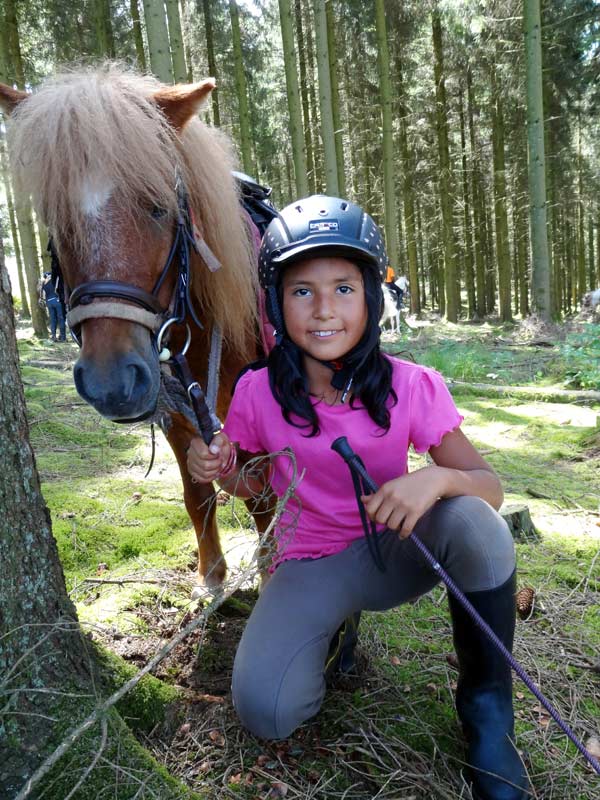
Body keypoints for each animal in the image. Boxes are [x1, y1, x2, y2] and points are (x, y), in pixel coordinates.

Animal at [0, 67, 274, 591]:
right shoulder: (177, 416)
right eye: (55, 218)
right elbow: (198, 493)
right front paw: (212, 576)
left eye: (159, 207)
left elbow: (264, 499)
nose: (111, 383)